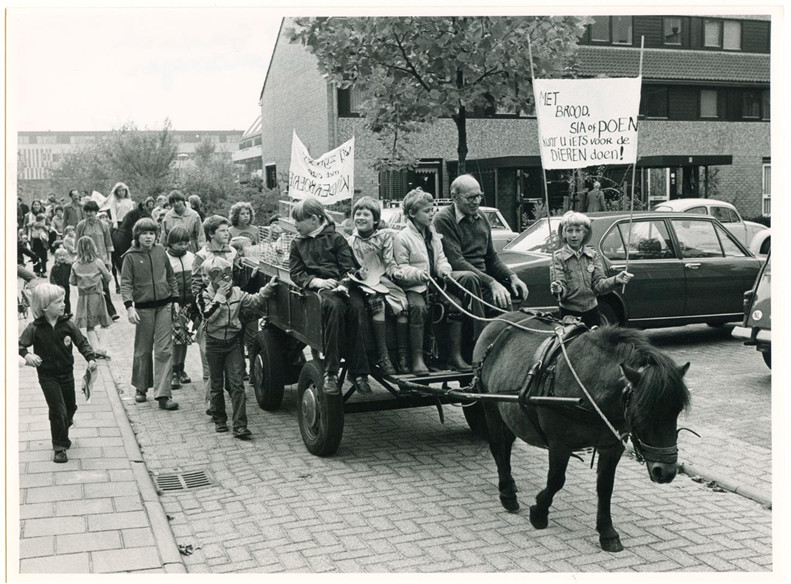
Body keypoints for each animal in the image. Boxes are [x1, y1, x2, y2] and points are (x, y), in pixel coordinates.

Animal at [474, 310, 688, 552]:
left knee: (507, 444)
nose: (666, 472)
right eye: (642, 410)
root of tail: (498, 320)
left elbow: (605, 486)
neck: (589, 385)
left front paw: (607, 531)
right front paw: (539, 512)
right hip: (490, 406)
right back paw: (507, 493)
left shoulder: (611, 446)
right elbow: (556, 480)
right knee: (498, 447)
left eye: (678, 409)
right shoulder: (559, 443)